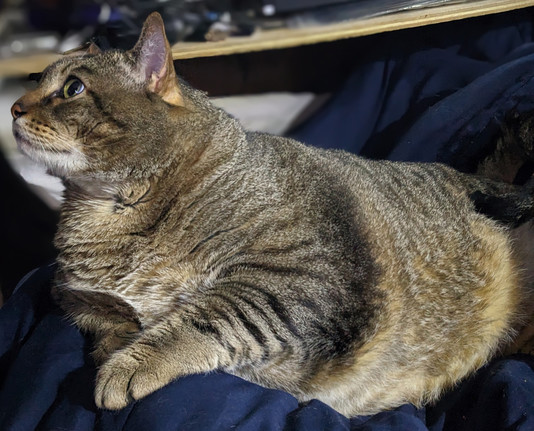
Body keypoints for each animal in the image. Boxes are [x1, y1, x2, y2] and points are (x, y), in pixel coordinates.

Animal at [9, 12, 534, 418]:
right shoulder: (80, 302)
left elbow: (209, 316)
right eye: (37, 82)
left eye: (72, 88)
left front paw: (130, 363)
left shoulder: (297, 278)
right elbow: (108, 324)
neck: (106, 211)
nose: (12, 107)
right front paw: (115, 347)